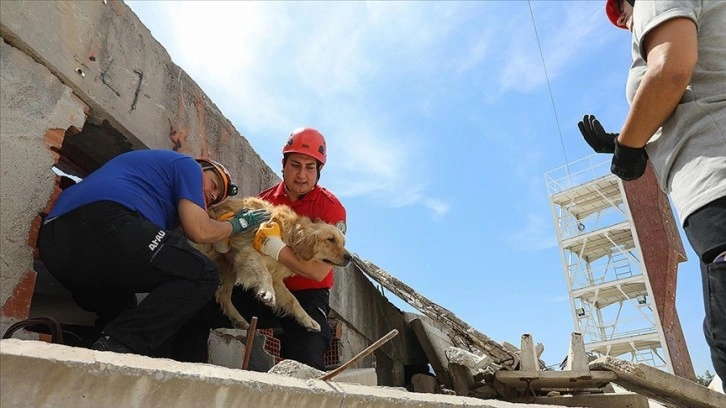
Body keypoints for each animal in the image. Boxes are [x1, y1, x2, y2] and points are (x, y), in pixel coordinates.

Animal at [196, 196, 350, 334]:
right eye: (331, 239)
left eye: (343, 243)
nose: (349, 258)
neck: (290, 237)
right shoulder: (250, 253)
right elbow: (266, 276)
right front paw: (268, 293)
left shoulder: (277, 278)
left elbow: (292, 299)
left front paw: (308, 320)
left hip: (229, 268)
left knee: (222, 293)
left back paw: (238, 319)